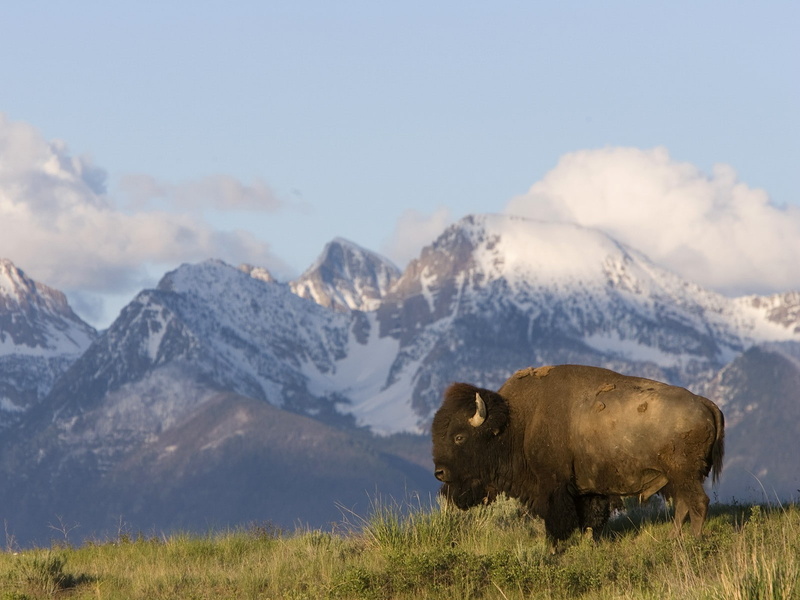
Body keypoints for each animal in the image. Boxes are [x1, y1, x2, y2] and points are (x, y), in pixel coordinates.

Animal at [432, 365, 724, 544]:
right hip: (678, 478)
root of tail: (704, 402)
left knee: (698, 503)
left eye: (459, 437)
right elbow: (590, 519)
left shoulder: (553, 486)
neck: (517, 423)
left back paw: (693, 541)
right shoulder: (588, 489)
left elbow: (558, 520)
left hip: (684, 474)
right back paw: (674, 538)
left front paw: (554, 547)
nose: (439, 472)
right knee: (684, 505)